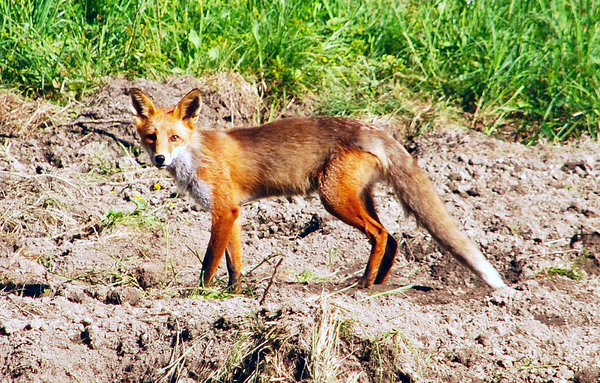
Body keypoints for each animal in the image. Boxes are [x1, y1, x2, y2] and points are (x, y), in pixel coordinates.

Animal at [130, 89, 506, 292]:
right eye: (151, 137)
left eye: (174, 137)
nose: (160, 158)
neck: (197, 154)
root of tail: (371, 129)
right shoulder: (233, 212)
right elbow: (234, 263)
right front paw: (234, 293)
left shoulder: (223, 210)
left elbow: (209, 262)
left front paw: (200, 295)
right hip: (356, 197)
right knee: (392, 236)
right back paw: (379, 281)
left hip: (333, 200)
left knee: (380, 234)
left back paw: (364, 283)